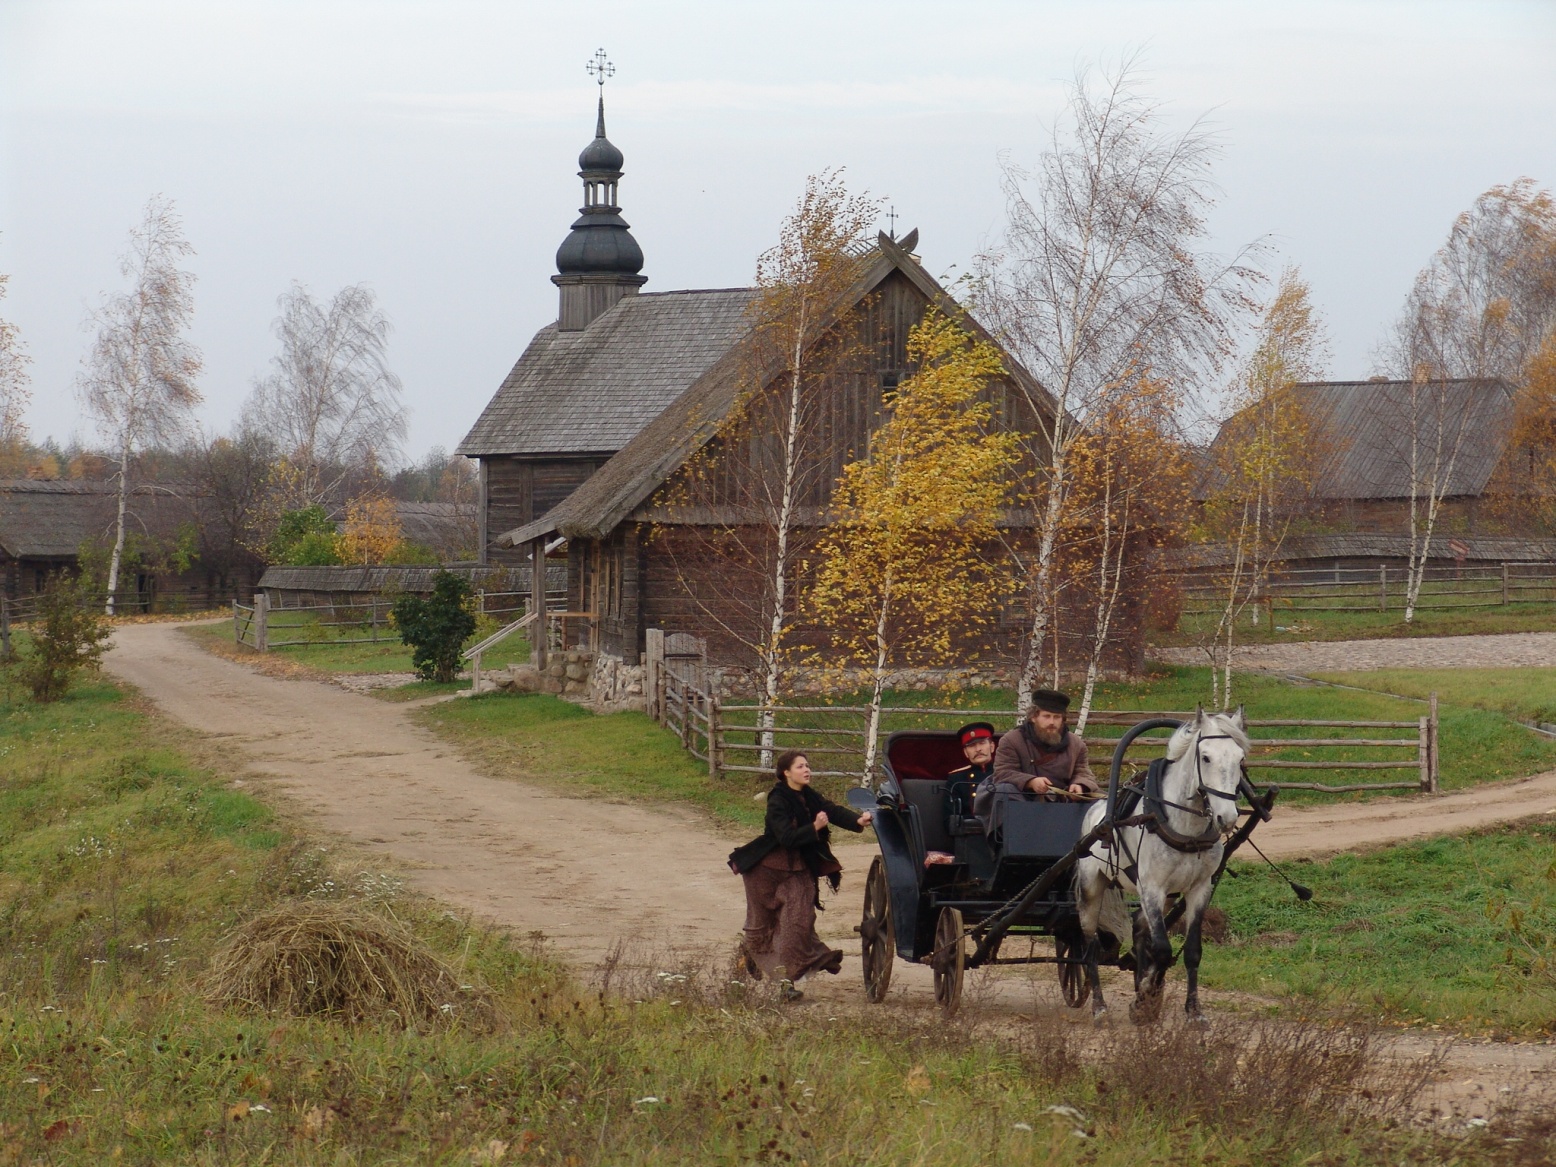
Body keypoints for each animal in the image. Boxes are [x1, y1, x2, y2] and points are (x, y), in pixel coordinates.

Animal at [1076, 703, 1244, 1020]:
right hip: (1092, 888)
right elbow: (1164, 950)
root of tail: (1094, 811)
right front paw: (1144, 995)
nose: (1226, 817)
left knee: (1140, 931)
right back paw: (1099, 1007)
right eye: (1206, 757)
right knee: (1089, 945)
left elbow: (1192, 952)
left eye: (1241, 759)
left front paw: (1193, 1012)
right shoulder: (1151, 888)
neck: (1185, 828)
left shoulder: (1199, 888)